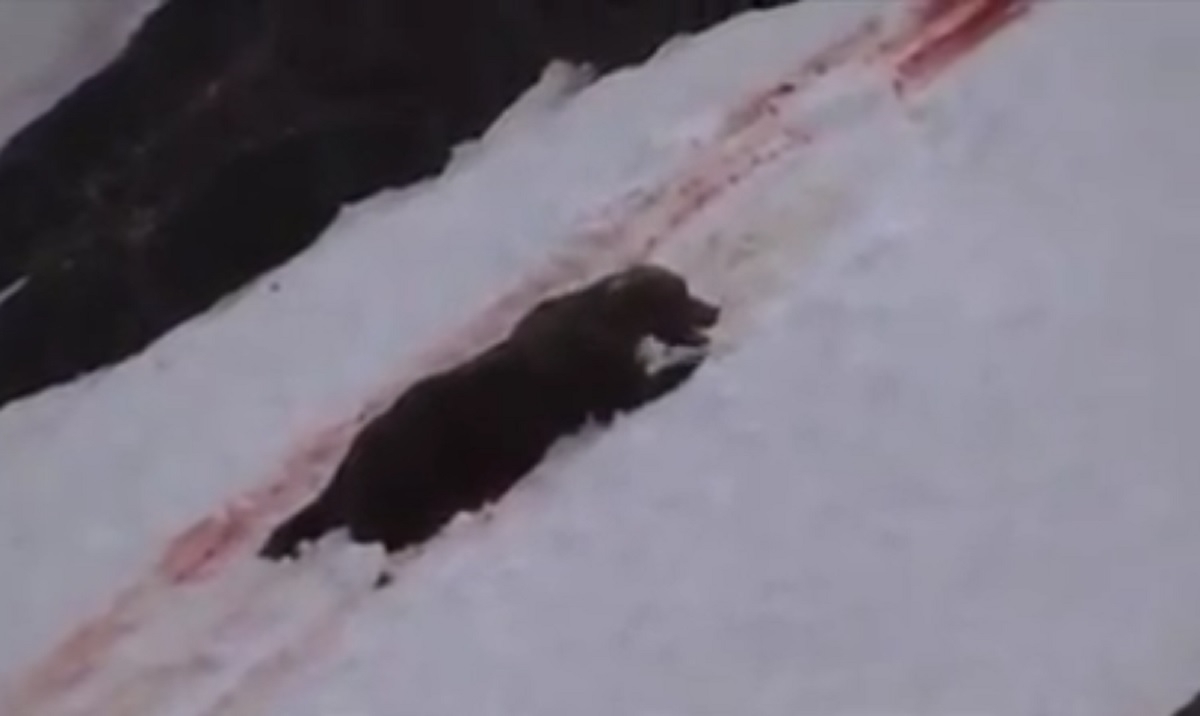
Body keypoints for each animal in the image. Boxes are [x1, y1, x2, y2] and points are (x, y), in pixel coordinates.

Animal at [258, 263, 720, 560]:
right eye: (680, 293)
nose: (712, 310)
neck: (609, 326)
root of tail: (341, 476)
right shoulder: (596, 381)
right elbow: (636, 390)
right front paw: (690, 364)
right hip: (411, 464)